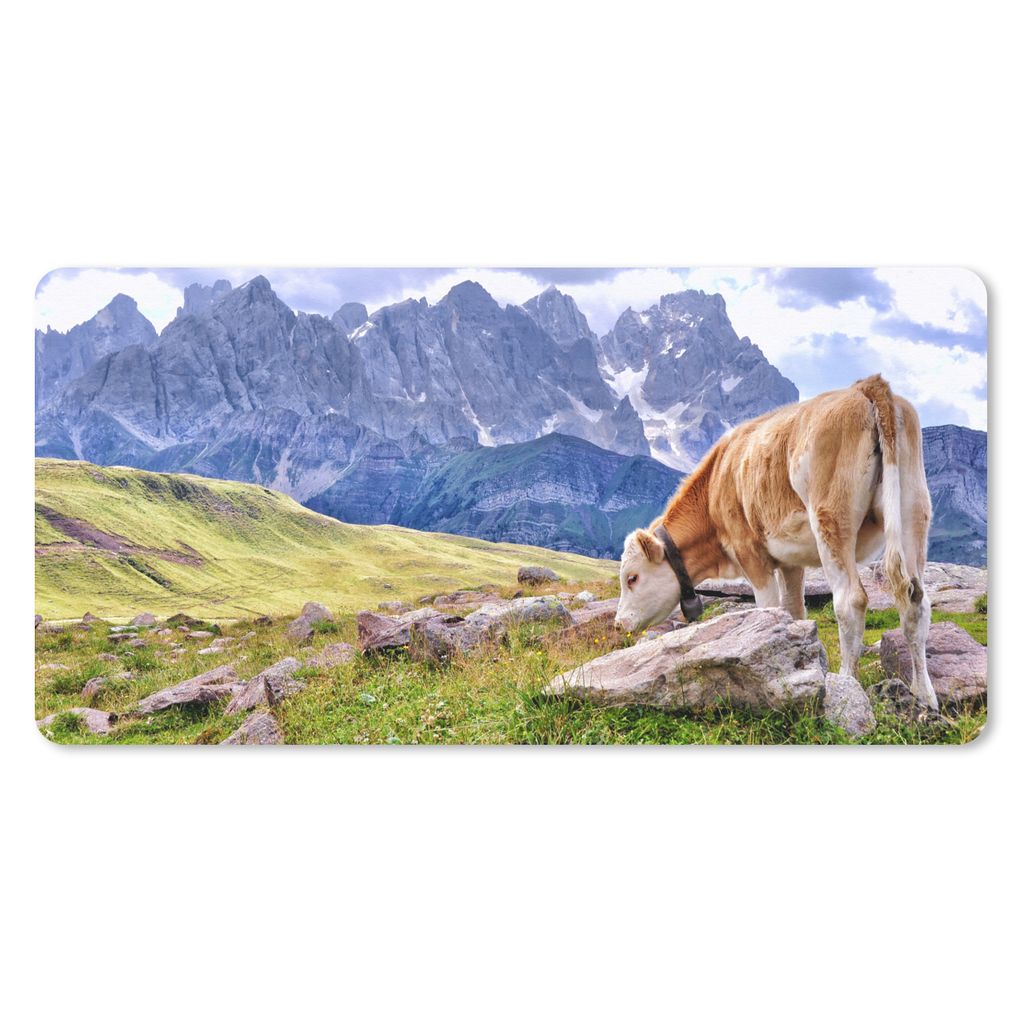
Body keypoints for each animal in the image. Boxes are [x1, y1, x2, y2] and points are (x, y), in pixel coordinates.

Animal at [614, 375, 937, 709]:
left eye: (632, 578)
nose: (618, 624)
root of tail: (865, 387)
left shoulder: (749, 552)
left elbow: (767, 610)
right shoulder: (790, 562)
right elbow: (794, 612)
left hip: (832, 518)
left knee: (850, 600)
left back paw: (848, 683)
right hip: (914, 508)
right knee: (916, 601)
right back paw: (924, 695)